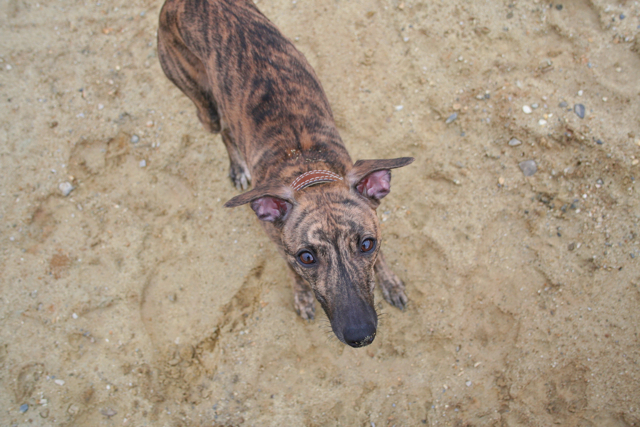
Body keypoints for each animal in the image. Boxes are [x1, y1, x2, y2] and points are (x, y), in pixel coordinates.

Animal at [158, 0, 412, 348]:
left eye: (366, 244)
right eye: (306, 257)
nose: (361, 336)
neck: (306, 167)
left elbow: (382, 259)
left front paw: (390, 282)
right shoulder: (279, 244)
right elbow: (293, 274)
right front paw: (302, 297)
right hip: (203, 106)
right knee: (223, 129)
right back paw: (237, 167)